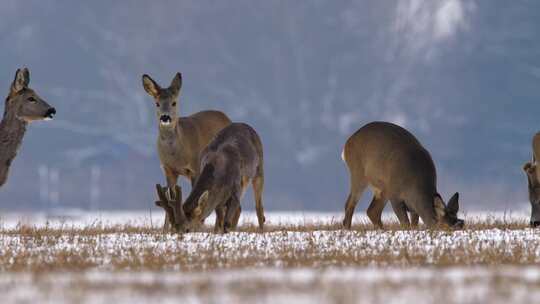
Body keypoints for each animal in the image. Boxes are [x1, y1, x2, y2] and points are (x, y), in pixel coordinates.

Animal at [141, 72, 230, 229]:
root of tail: (226, 117)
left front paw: (196, 225)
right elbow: (170, 198)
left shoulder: (195, 168)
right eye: (157, 103)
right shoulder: (168, 169)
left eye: (174, 102)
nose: (165, 117)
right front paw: (167, 228)